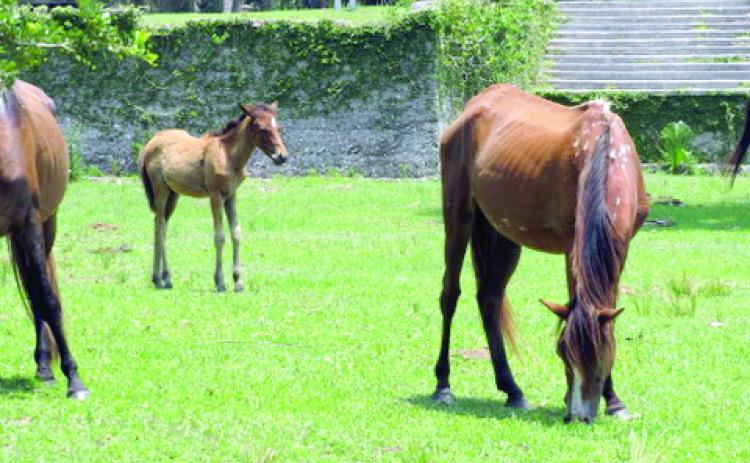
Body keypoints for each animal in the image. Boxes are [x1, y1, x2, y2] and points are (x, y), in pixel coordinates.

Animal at [0, 80, 89, 399]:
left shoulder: (30, 225)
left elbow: (47, 298)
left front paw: (75, 380)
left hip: (46, 225)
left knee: (37, 291)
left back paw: (45, 366)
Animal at [138, 102, 288, 292]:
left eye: (279, 128)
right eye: (262, 128)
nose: (282, 157)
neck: (228, 155)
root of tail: (150, 143)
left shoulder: (231, 195)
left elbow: (236, 233)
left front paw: (238, 282)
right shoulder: (215, 195)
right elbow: (219, 237)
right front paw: (220, 281)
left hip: (174, 194)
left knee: (162, 225)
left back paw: (166, 277)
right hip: (160, 190)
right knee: (159, 227)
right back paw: (158, 278)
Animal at [433, 84, 648, 423]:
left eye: (602, 357)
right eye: (563, 352)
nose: (579, 416)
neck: (604, 153)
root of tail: (475, 104)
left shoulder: (622, 246)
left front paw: (614, 402)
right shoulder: (572, 247)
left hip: (503, 234)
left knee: (489, 299)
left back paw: (512, 390)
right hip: (458, 214)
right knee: (450, 294)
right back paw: (443, 385)